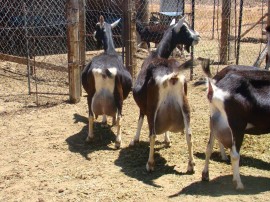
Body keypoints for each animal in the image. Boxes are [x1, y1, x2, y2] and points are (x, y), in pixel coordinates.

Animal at [82, 16, 133, 148]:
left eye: (96, 26)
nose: (93, 34)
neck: (110, 51)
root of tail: (105, 69)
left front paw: (104, 122)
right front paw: (108, 122)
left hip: (90, 95)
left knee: (90, 115)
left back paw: (90, 137)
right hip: (119, 96)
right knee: (120, 117)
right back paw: (118, 141)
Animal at [131, 16, 200, 172]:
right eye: (185, 28)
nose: (197, 37)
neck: (158, 54)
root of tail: (172, 75)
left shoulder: (144, 105)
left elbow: (140, 118)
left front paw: (135, 139)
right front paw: (167, 140)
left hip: (153, 108)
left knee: (152, 134)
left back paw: (150, 164)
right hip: (185, 105)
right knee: (189, 134)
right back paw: (191, 165)